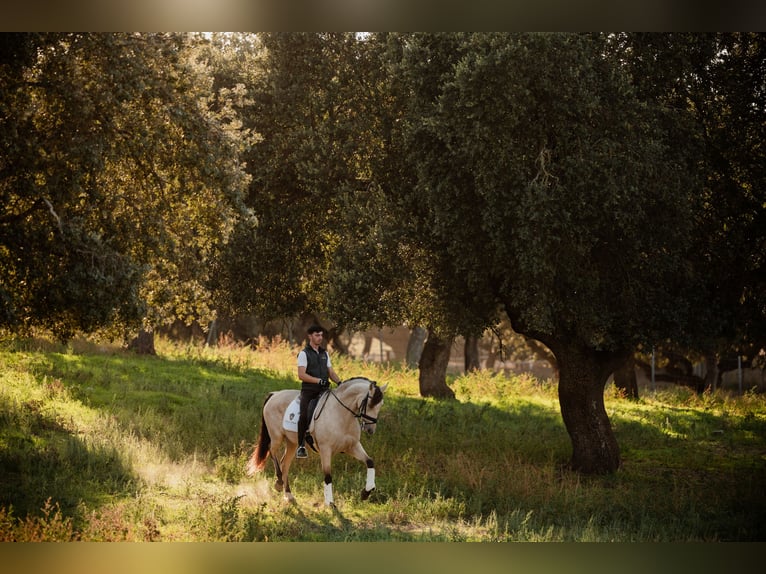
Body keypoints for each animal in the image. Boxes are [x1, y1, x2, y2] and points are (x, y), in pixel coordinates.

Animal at [248, 378, 388, 508]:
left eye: (381, 404)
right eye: (370, 404)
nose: (370, 430)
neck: (342, 414)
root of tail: (274, 394)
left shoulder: (353, 446)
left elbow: (370, 462)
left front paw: (366, 492)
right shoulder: (326, 449)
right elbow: (328, 476)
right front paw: (330, 503)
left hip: (292, 442)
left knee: (285, 464)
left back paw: (288, 494)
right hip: (276, 436)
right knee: (271, 450)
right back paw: (278, 482)